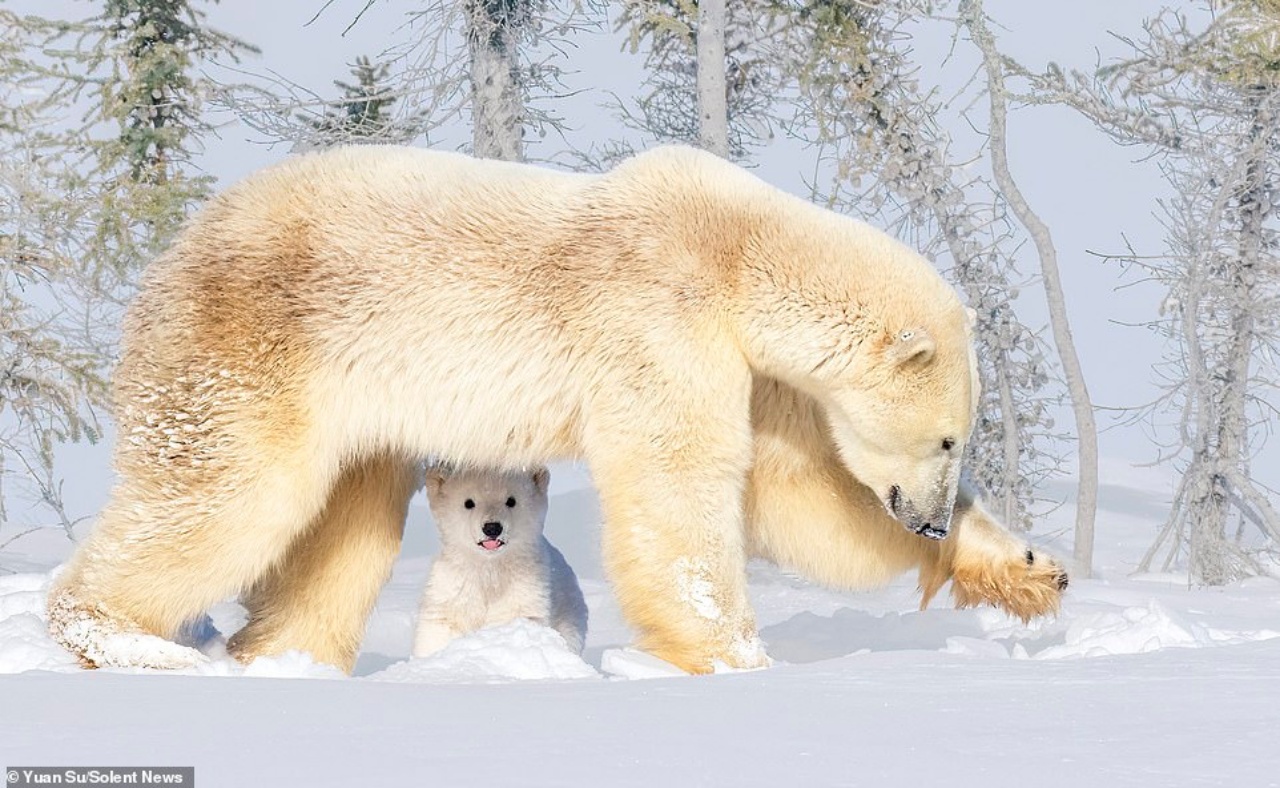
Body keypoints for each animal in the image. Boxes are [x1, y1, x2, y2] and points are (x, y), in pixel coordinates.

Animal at [49, 143, 1064, 670]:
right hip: (248, 353)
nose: (928, 518)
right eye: (947, 437)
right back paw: (131, 640)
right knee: (224, 495)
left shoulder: (751, 368)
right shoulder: (660, 319)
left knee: (340, 533)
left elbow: (797, 496)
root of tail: (170, 257)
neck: (736, 248)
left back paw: (281, 658)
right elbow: (685, 481)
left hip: (353, 406)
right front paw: (738, 659)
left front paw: (1030, 569)